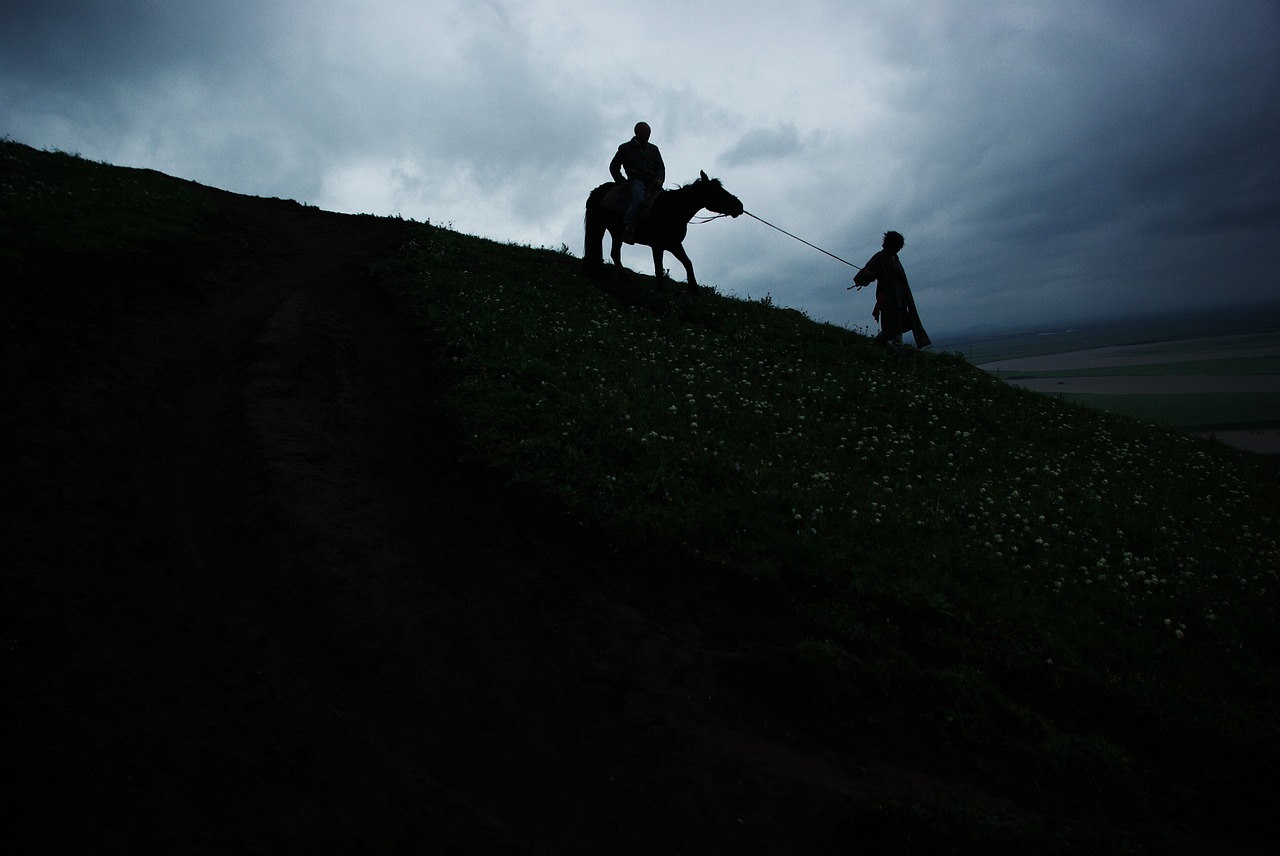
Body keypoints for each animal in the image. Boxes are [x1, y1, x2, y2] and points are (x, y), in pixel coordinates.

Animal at [581, 168, 742, 290]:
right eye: (717, 191)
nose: (739, 206)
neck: (671, 209)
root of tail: (598, 190)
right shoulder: (657, 246)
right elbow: (659, 268)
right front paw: (660, 291)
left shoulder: (674, 244)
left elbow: (688, 263)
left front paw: (693, 289)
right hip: (599, 226)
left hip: (616, 232)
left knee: (614, 253)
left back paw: (624, 279)